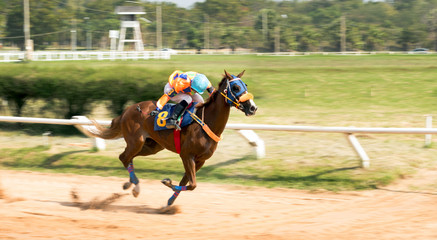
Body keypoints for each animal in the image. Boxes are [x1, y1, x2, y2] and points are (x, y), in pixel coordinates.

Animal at [87, 70, 255, 206]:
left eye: (245, 85)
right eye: (236, 88)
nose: (253, 107)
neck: (206, 122)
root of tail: (128, 109)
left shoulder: (200, 160)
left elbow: (187, 182)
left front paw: (169, 202)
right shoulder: (187, 155)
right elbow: (192, 184)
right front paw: (166, 182)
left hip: (152, 146)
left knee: (127, 157)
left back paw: (130, 184)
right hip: (136, 141)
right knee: (124, 157)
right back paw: (135, 186)